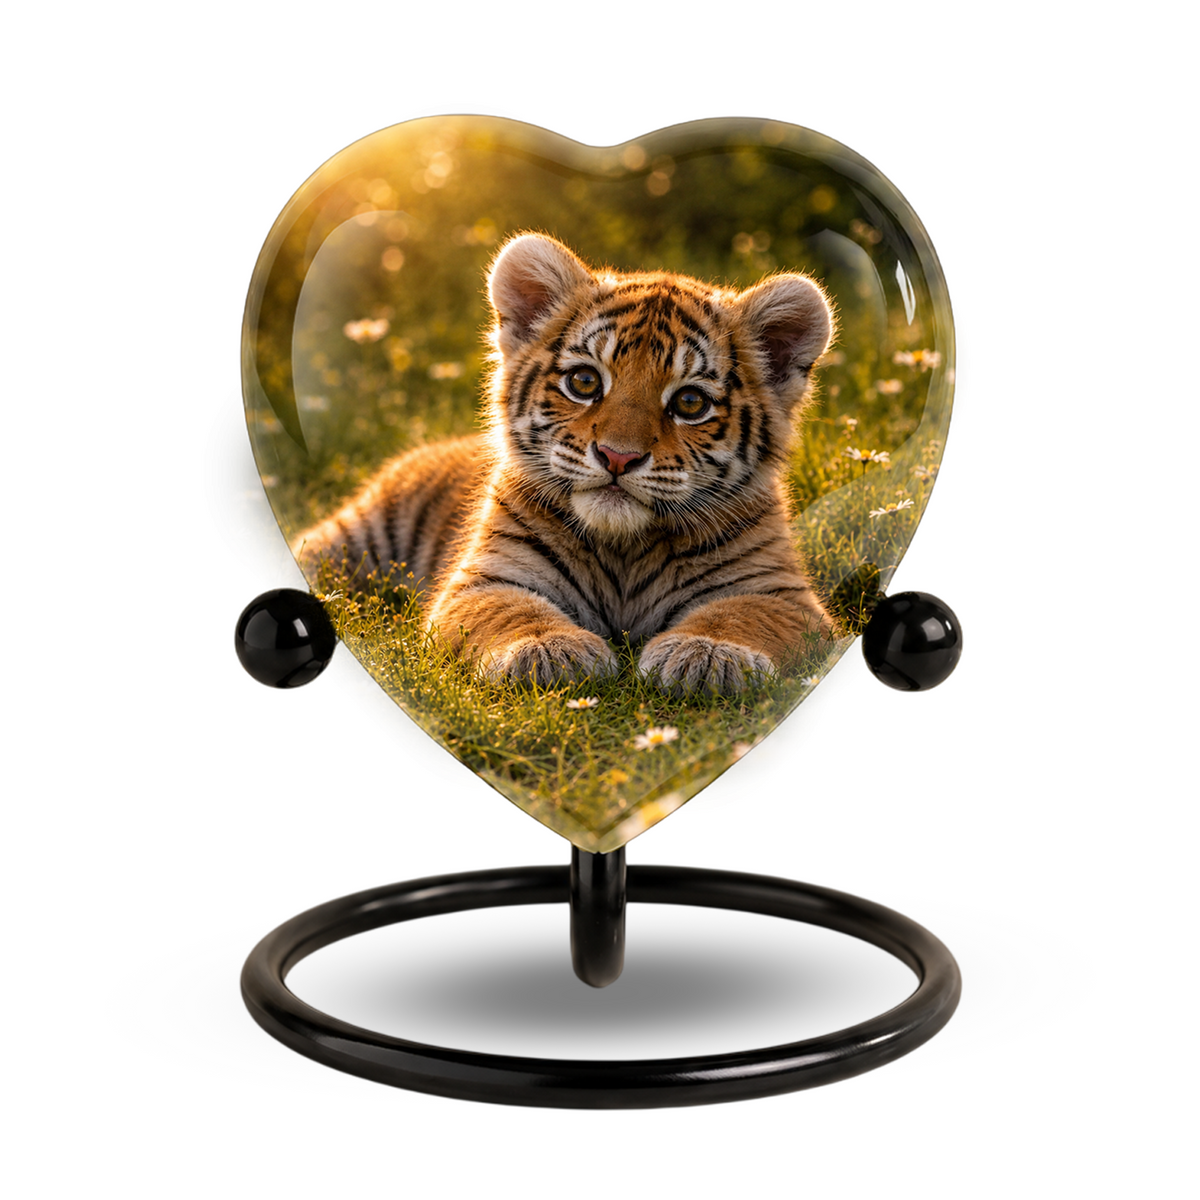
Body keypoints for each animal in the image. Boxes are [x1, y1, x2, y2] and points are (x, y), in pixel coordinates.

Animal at [294, 232, 837, 694]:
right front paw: (549, 650)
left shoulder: (781, 594)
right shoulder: (484, 579)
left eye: (689, 403)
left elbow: (738, 616)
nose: (618, 456)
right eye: (584, 382)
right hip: (360, 533)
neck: (625, 550)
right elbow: (512, 612)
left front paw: (707, 653)